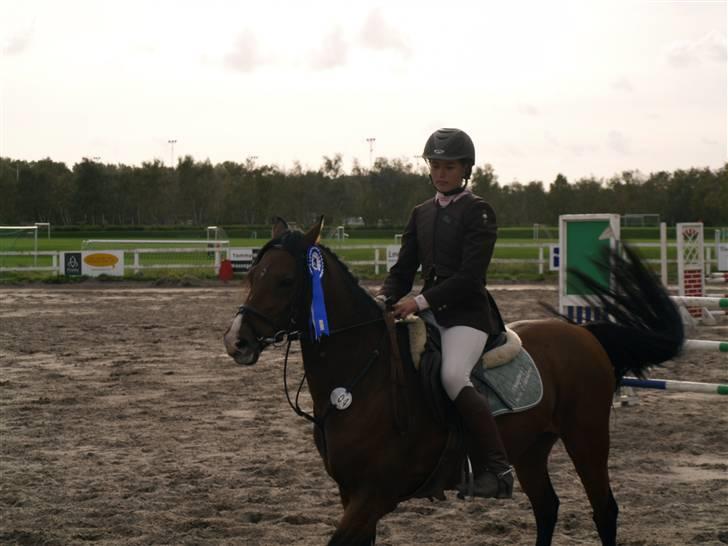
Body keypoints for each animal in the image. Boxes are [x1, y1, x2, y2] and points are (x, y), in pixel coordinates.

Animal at [222, 215, 684, 540]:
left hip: (586, 438)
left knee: (604, 511)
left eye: (285, 280)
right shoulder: (351, 493)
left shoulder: (375, 495)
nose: (236, 341)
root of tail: (584, 334)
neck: (360, 381)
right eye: (251, 275)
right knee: (547, 508)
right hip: (531, 447)